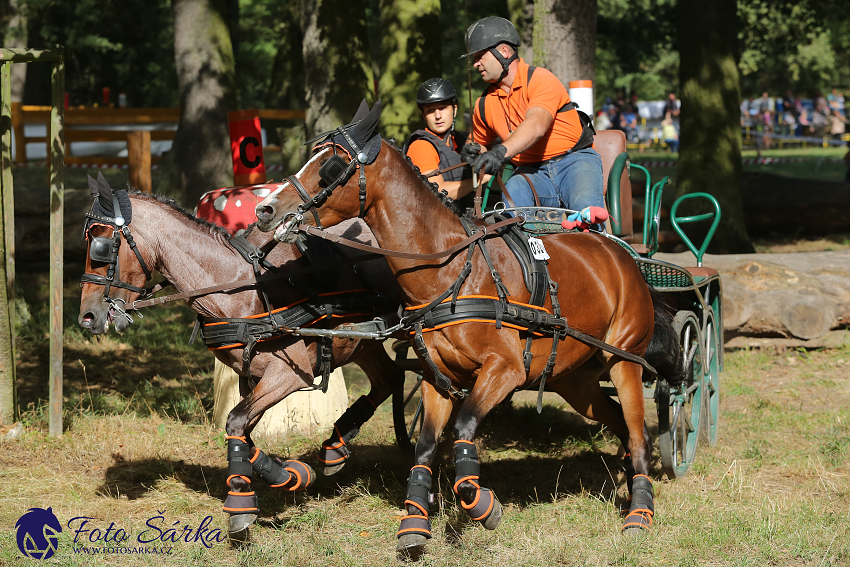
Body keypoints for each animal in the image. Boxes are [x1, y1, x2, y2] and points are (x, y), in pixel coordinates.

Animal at [77, 175, 404, 540]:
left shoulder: (290, 375)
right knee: (389, 379)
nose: (87, 317)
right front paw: (287, 475)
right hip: (364, 343)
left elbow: (235, 421)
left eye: (100, 244)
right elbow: (243, 432)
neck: (240, 287)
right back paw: (336, 445)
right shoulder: (252, 377)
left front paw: (240, 501)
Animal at [252, 101, 684, 556]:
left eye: (330, 166)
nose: (265, 210)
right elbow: (426, 447)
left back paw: (639, 509)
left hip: (624, 363)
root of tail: (621, 254)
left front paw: (481, 504)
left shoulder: (505, 370)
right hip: (577, 381)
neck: (453, 269)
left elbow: (463, 431)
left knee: (638, 432)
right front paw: (414, 522)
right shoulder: (436, 378)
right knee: (620, 424)